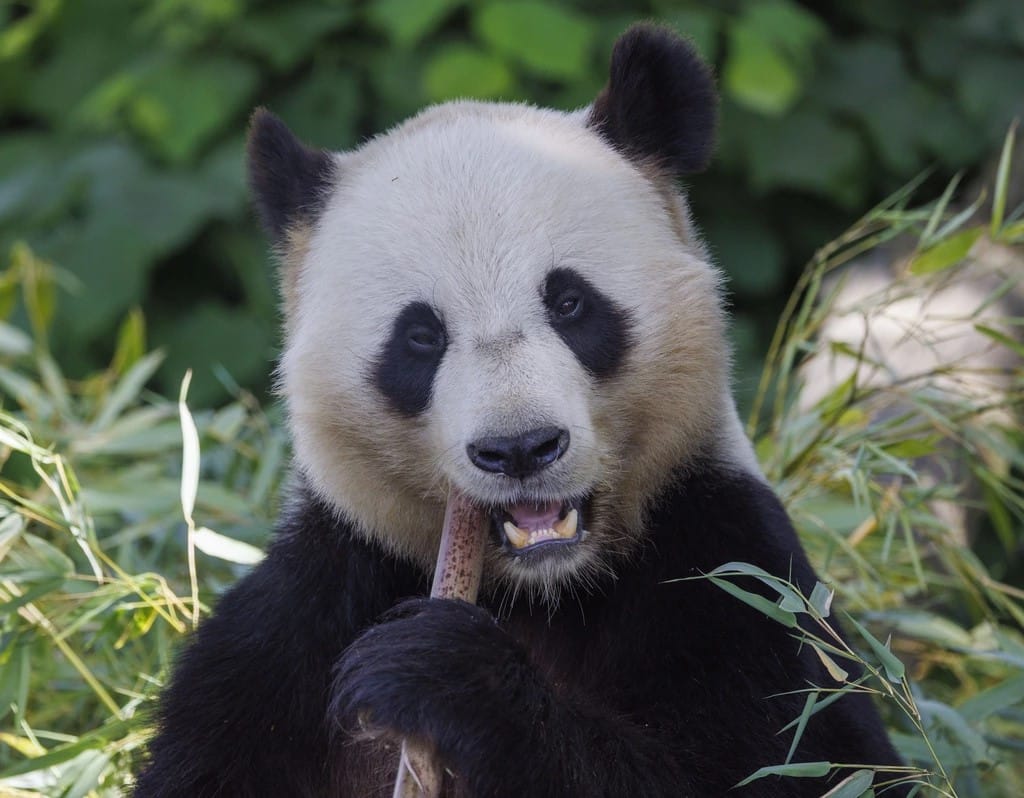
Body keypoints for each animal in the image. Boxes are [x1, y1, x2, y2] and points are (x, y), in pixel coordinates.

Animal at [132, 24, 909, 798]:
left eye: (569, 302)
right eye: (420, 336)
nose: (520, 449)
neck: (543, 591)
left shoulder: (729, 571)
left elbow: (801, 760)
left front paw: (439, 671)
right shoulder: (304, 611)